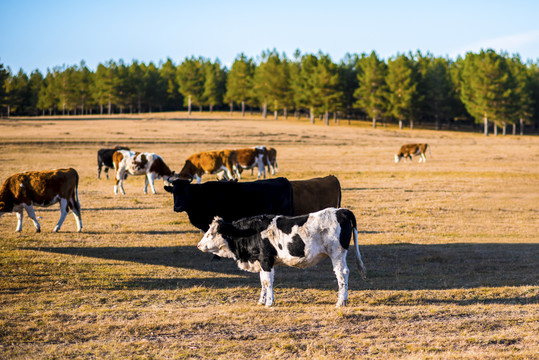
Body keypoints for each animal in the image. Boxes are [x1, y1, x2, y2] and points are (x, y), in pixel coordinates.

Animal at [198, 208, 368, 306]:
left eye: (211, 234)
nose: (199, 245)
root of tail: (341, 211)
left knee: (342, 274)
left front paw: (269, 302)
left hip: (337, 253)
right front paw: (261, 301)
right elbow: (262, 281)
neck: (251, 233)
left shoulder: (266, 260)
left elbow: (267, 281)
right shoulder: (262, 262)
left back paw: (341, 301)